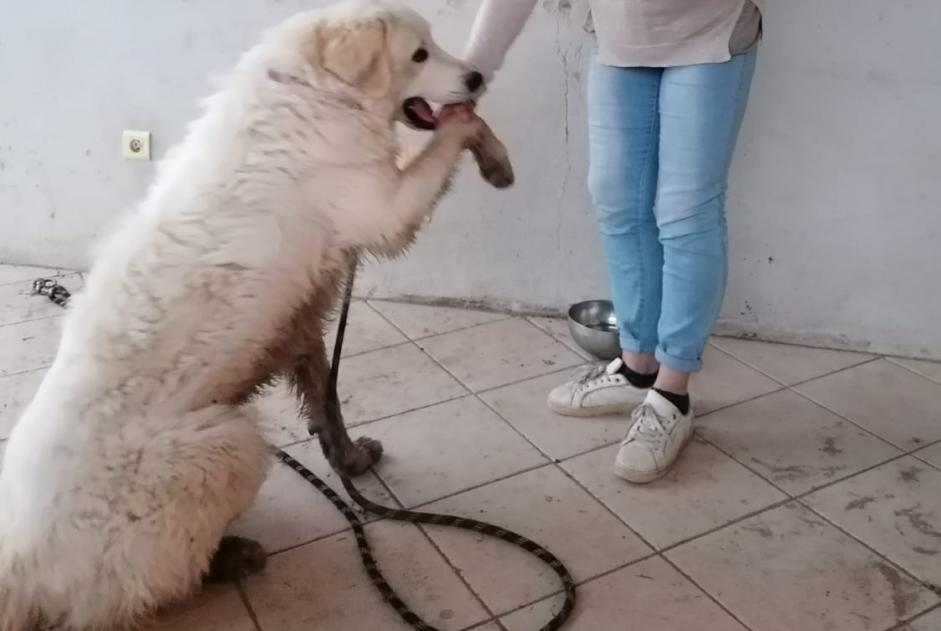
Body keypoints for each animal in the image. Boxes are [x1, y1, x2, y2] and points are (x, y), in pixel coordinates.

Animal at [1, 2, 516, 628]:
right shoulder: (383, 209)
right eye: (419, 54)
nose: (477, 76)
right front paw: (494, 157)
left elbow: (327, 401)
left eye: (435, 45)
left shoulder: (300, 321)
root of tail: (18, 564)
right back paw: (231, 558)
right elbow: (455, 129)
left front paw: (350, 462)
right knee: (141, 591)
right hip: (230, 443)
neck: (315, 90)